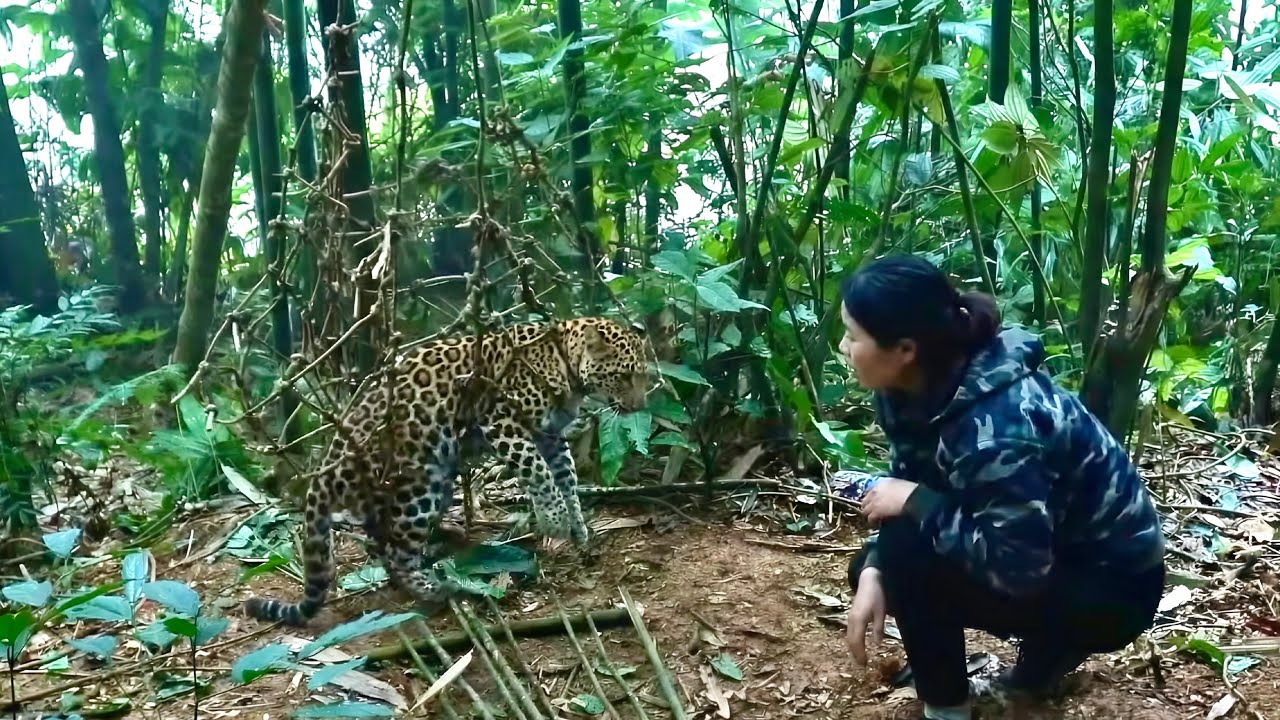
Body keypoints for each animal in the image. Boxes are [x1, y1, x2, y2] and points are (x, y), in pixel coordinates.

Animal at [243, 316, 651, 626]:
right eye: (624, 376)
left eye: (642, 376)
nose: (640, 405)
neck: (565, 364)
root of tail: (328, 469)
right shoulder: (503, 422)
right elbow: (537, 471)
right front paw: (553, 521)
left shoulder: (550, 436)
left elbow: (565, 478)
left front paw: (578, 528)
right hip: (417, 484)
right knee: (397, 551)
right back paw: (432, 588)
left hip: (433, 485)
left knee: (383, 541)